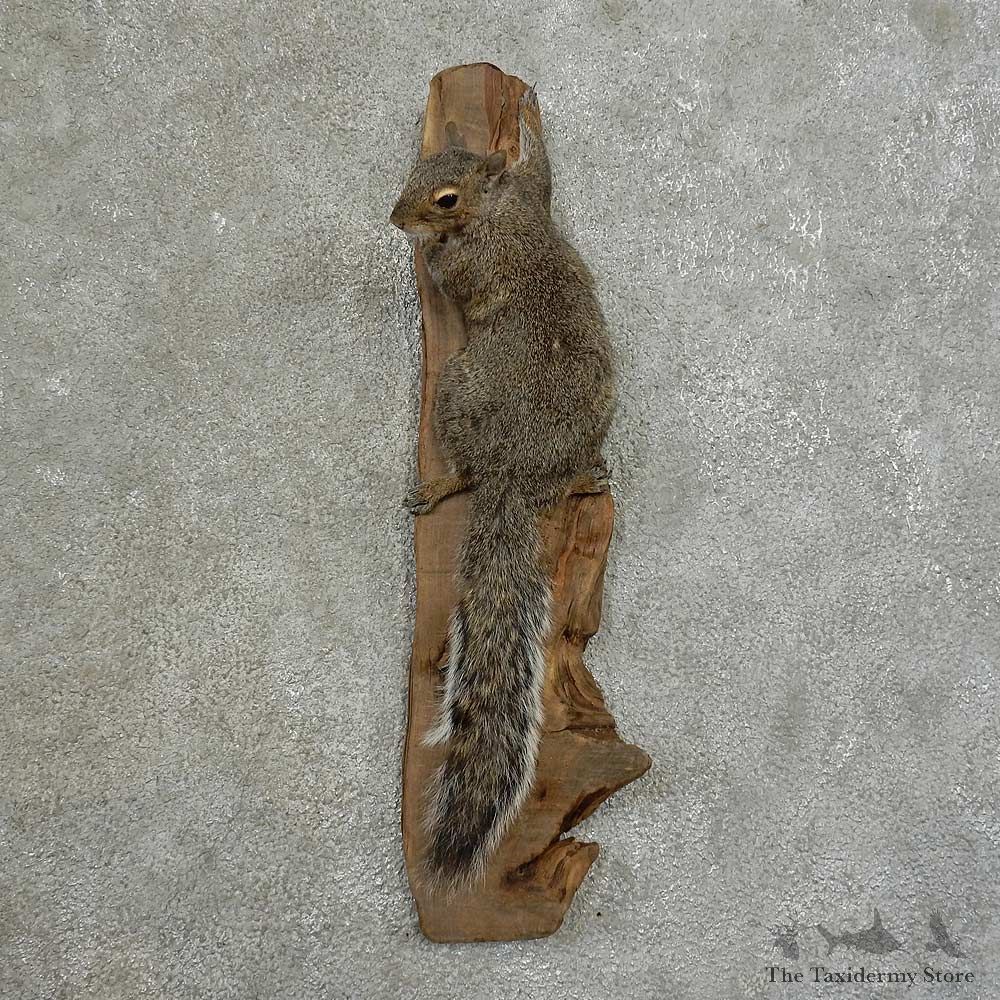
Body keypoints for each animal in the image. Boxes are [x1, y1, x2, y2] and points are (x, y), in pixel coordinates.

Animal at [390, 88, 616, 888]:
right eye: (420, 167)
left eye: (444, 198)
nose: (395, 217)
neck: (495, 206)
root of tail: (514, 476)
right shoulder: (532, 193)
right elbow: (543, 169)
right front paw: (527, 119)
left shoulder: (481, 254)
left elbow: (451, 271)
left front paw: (426, 250)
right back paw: (583, 477)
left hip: (454, 392)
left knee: (466, 469)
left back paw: (443, 484)